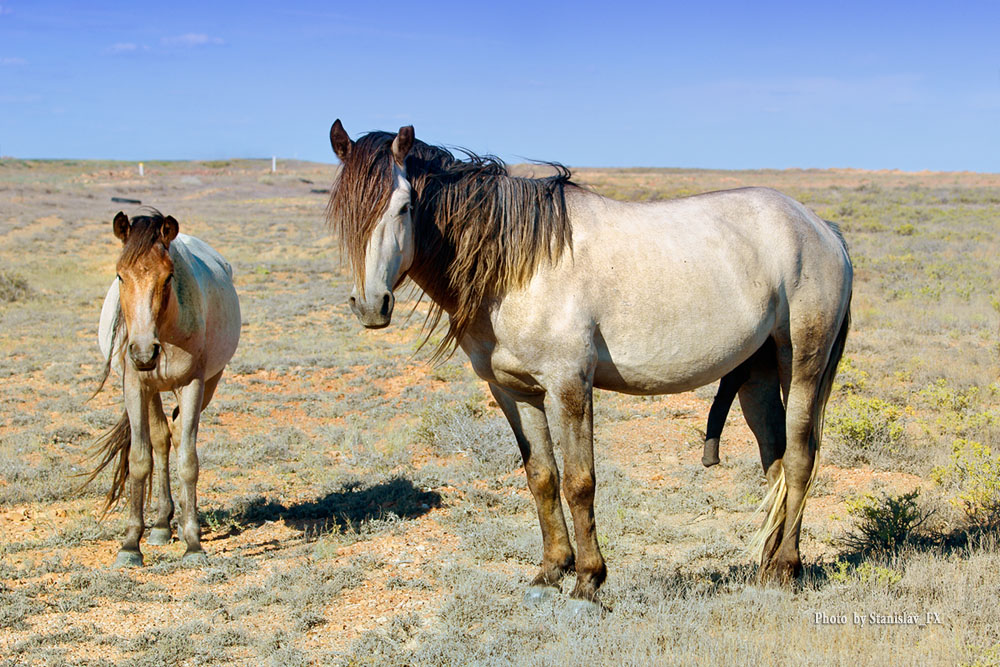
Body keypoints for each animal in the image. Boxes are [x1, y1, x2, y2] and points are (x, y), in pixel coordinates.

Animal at [85, 210, 240, 568]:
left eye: (168, 277)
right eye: (120, 276)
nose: (144, 353)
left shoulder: (193, 384)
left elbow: (189, 461)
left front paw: (193, 542)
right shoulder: (134, 386)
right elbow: (140, 458)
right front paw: (130, 544)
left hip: (207, 384)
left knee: (176, 434)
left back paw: (178, 523)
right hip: (152, 390)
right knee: (160, 438)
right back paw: (159, 525)